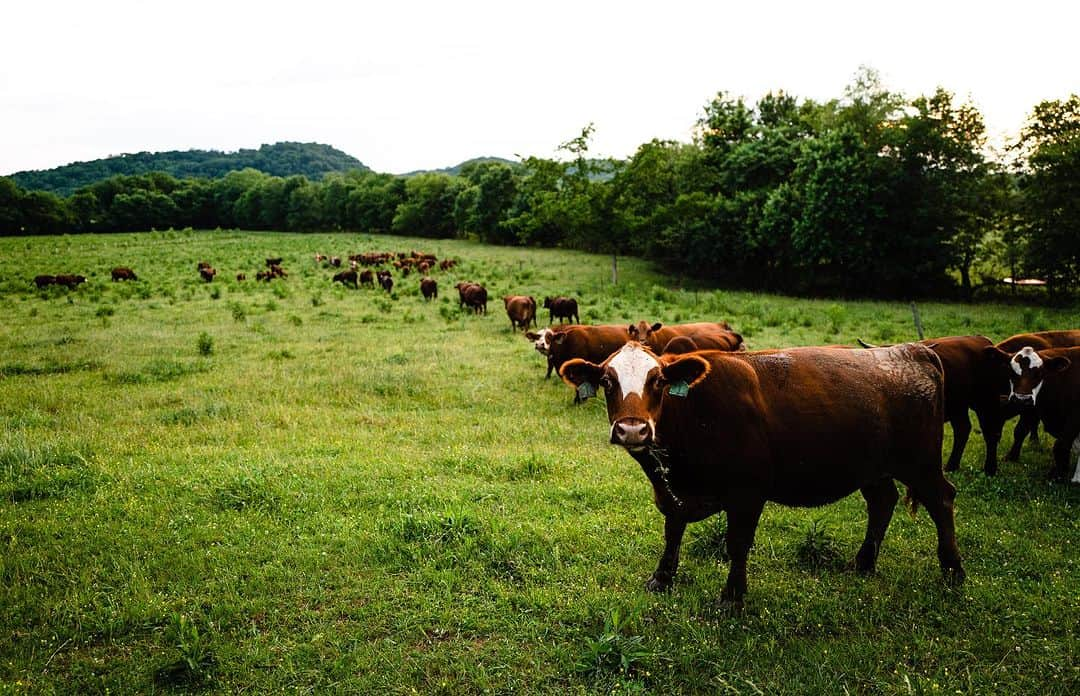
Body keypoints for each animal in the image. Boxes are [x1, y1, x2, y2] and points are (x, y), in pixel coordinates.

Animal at [557, 341, 963, 605]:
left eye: (657, 380)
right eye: (607, 381)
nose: (633, 429)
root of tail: (912, 351)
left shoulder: (748, 494)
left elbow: (736, 544)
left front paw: (733, 597)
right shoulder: (674, 494)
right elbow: (672, 532)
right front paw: (662, 578)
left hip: (921, 463)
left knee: (941, 499)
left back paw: (953, 571)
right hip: (873, 468)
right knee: (882, 501)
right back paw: (863, 563)